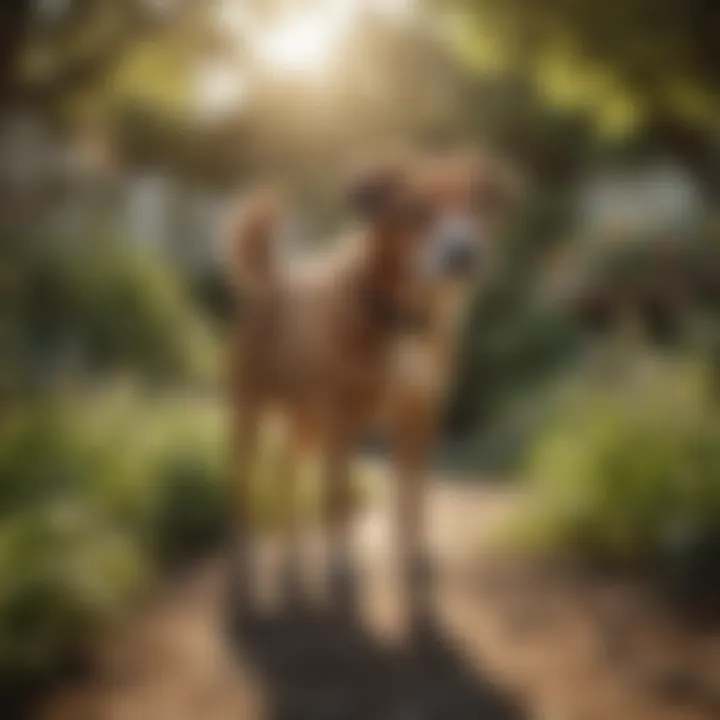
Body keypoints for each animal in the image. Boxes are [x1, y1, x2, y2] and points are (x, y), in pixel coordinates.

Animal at [225, 149, 516, 616]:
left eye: (475, 207)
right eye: (415, 211)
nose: (463, 253)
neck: (401, 317)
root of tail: (274, 285)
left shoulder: (419, 418)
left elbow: (413, 498)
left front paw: (415, 557)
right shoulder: (343, 420)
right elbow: (339, 500)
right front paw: (340, 567)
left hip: (308, 425)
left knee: (287, 476)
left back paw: (293, 557)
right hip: (252, 418)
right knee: (244, 488)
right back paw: (246, 559)